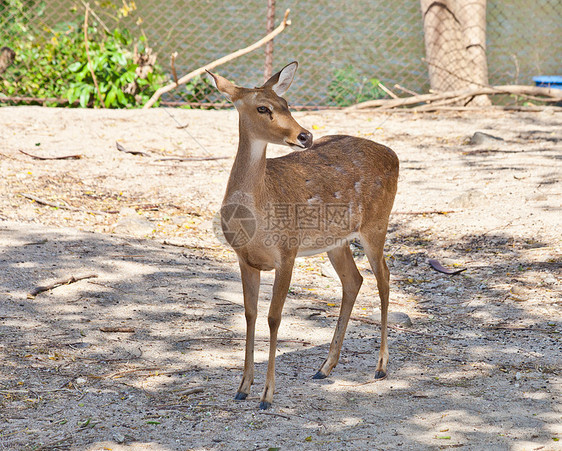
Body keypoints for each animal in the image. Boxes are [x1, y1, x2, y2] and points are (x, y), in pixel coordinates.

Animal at [207, 61, 398, 412]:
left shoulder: (288, 252)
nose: (305, 135)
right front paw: (242, 387)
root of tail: (393, 154)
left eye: (286, 104)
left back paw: (380, 366)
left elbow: (274, 317)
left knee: (384, 277)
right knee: (354, 280)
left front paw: (267, 395)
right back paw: (324, 367)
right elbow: (250, 314)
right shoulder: (245, 259)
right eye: (263, 107)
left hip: (376, 224)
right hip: (336, 241)